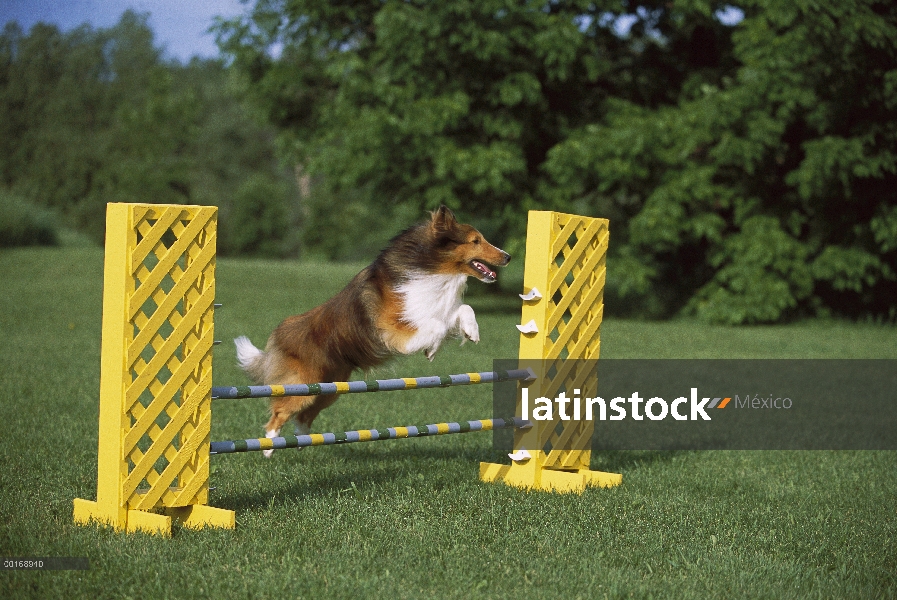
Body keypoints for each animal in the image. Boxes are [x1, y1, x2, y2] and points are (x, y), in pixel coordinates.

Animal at [234, 204, 508, 458]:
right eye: (475, 241)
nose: (508, 257)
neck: (431, 267)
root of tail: (281, 333)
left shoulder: (438, 306)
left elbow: (462, 310)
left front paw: (470, 332)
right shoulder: (396, 330)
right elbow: (437, 325)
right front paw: (432, 349)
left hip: (329, 388)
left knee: (304, 416)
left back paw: (301, 441)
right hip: (302, 386)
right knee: (279, 413)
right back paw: (269, 447)